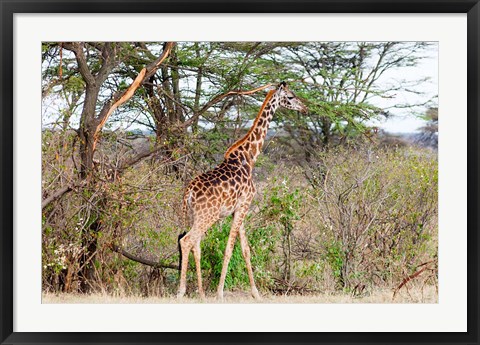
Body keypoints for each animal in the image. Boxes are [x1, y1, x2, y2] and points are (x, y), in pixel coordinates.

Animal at [176, 82, 308, 300]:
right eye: (290, 96)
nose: (305, 108)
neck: (249, 157)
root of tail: (188, 193)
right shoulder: (244, 205)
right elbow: (229, 249)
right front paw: (220, 293)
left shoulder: (240, 209)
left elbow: (245, 249)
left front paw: (256, 293)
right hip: (208, 216)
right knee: (187, 241)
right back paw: (181, 292)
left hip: (195, 215)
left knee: (195, 244)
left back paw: (201, 294)